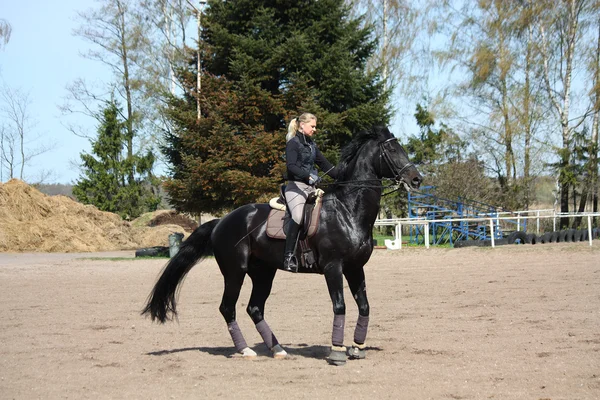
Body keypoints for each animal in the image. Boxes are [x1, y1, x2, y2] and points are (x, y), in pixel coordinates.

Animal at [142, 126, 422, 366]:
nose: (417, 179)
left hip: (263, 273)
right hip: (235, 272)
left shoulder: (355, 268)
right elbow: (340, 306)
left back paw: (277, 349)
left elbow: (364, 306)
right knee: (227, 308)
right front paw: (337, 352)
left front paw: (357, 348)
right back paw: (245, 350)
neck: (347, 210)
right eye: (392, 149)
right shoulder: (333, 268)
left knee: (255, 308)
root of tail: (221, 220)